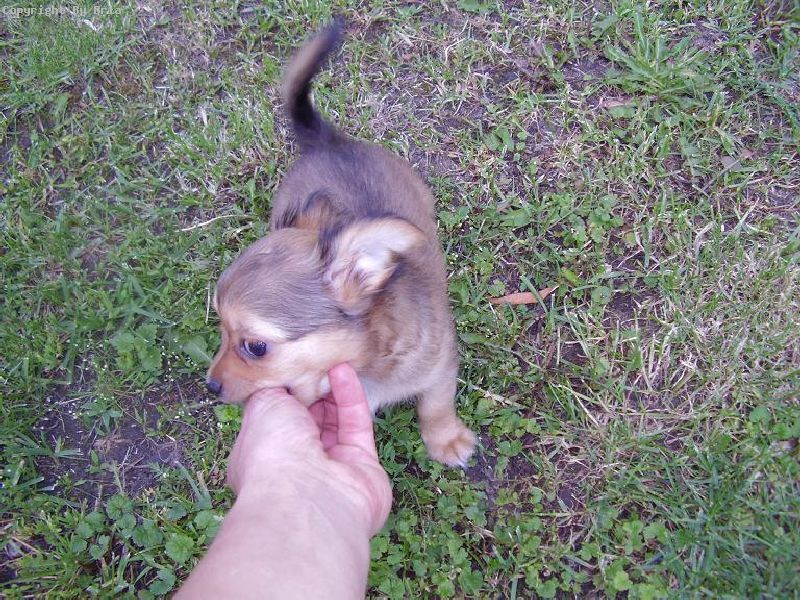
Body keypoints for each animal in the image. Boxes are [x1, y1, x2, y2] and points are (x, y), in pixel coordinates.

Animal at [206, 22, 475, 467]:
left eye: (255, 347)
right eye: (221, 330)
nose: (210, 385)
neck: (364, 365)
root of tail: (327, 141)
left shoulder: (440, 366)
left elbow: (435, 405)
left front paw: (446, 439)